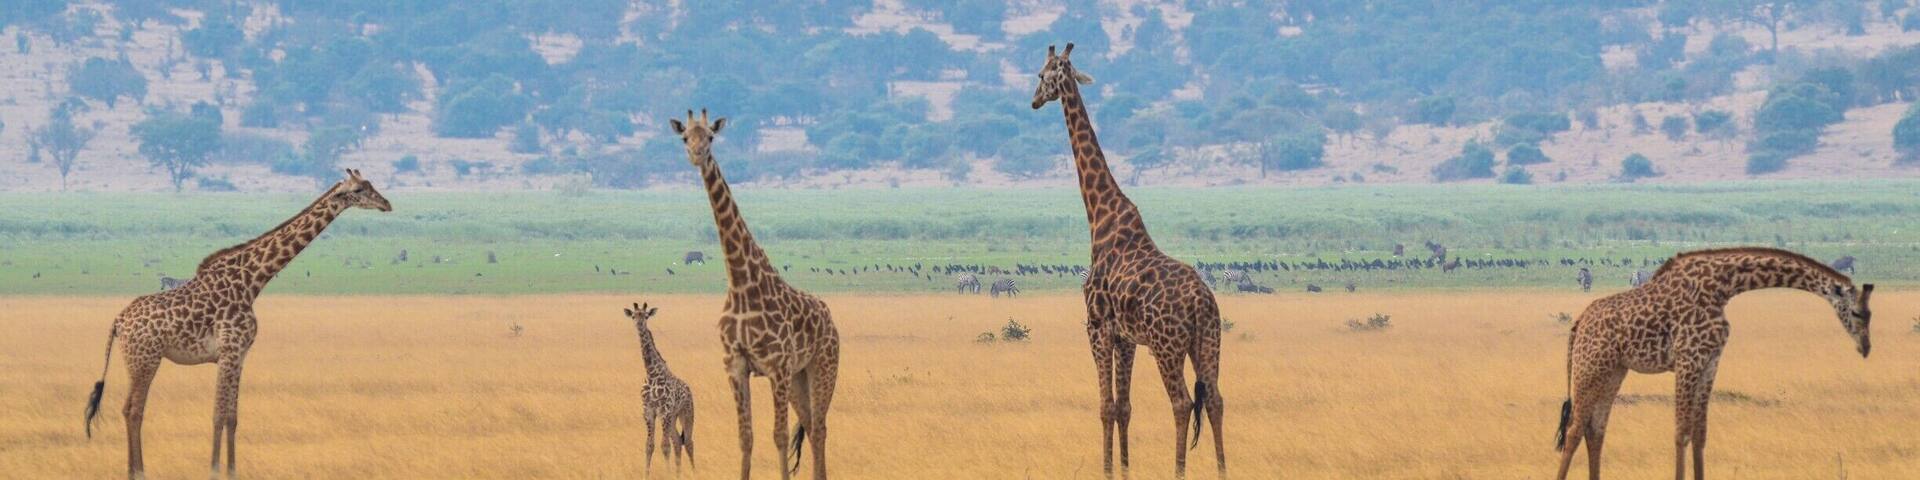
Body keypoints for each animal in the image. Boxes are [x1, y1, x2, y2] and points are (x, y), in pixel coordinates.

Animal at [82, 169, 391, 479]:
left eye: (371, 185)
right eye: (360, 189)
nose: (387, 204)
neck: (251, 282)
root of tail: (118, 321)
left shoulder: (240, 355)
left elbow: (232, 417)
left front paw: (231, 469)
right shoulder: (229, 351)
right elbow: (218, 414)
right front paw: (214, 469)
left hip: (140, 359)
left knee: (131, 409)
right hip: (144, 359)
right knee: (133, 409)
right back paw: (138, 472)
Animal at [625, 302, 696, 474]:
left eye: (646, 316)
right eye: (633, 316)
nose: (639, 325)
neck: (651, 374)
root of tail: (689, 390)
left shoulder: (664, 410)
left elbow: (664, 446)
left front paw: (667, 473)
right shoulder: (648, 411)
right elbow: (649, 445)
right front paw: (646, 474)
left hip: (686, 413)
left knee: (688, 442)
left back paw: (694, 472)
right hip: (673, 417)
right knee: (677, 441)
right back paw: (679, 474)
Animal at [671, 110, 840, 480]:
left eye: (711, 137)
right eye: (685, 137)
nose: (697, 155)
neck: (740, 284)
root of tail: (830, 319)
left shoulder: (776, 366)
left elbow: (778, 436)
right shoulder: (735, 365)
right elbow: (745, 437)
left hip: (822, 367)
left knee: (821, 427)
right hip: (798, 377)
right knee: (810, 425)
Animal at [1031, 43, 1225, 478]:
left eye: (1041, 74)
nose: (1033, 101)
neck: (1100, 220)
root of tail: (1201, 302)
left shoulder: (1098, 328)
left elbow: (1105, 407)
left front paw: (1106, 470)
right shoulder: (1127, 339)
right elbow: (1125, 407)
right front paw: (1123, 469)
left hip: (1168, 345)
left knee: (1183, 403)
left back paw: (1179, 471)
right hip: (1208, 341)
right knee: (1216, 400)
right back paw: (1225, 469)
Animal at [1553, 247, 1874, 480]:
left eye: (1870, 314)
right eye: (1858, 313)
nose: (1866, 348)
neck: (1723, 287)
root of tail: (1577, 325)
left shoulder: (1710, 362)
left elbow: (1699, 434)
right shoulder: (1688, 358)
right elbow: (1681, 431)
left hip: (1613, 371)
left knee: (1596, 429)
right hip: (1590, 367)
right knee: (1574, 429)